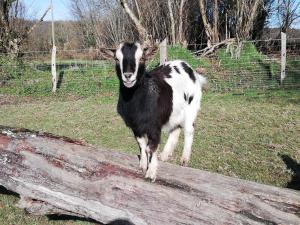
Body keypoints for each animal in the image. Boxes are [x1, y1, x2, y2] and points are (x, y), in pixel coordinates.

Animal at [102, 42, 207, 181]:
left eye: (142, 58)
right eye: (116, 59)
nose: (128, 76)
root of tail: (187, 67)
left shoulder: (154, 126)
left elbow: (151, 148)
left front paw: (151, 173)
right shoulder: (136, 126)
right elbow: (142, 145)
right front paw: (143, 165)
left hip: (192, 106)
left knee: (189, 130)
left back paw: (184, 159)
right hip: (174, 111)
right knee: (176, 129)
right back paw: (164, 155)